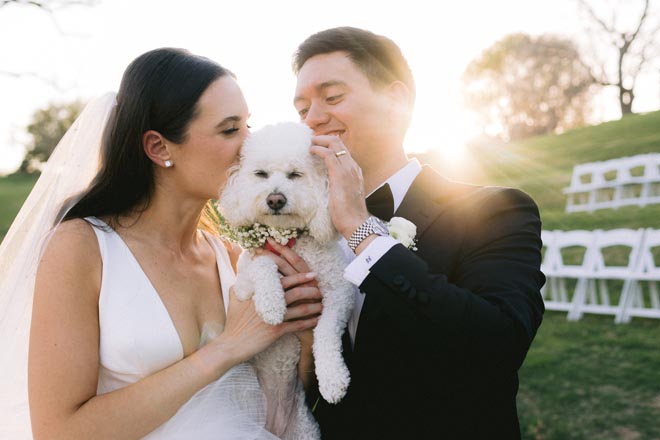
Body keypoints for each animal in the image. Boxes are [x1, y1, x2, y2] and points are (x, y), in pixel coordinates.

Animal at [219, 121, 356, 440]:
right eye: (261, 174)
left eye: (295, 174)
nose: (275, 198)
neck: (291, 240)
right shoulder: (241, 286)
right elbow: (263, 262)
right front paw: (272, 305)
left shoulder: (340, 293)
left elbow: (325, 332)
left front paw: (333, 380)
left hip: (304, 430)